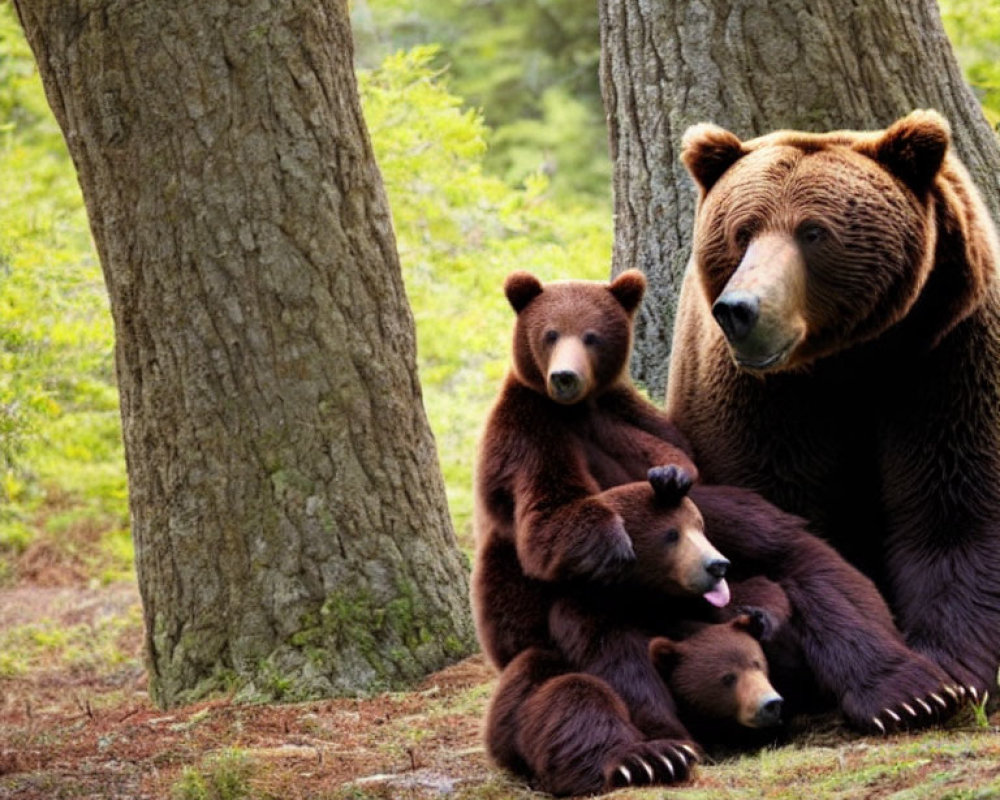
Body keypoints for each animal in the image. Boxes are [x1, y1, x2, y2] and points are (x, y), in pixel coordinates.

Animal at [668, 111, 1000, 700]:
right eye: (742, 231)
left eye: (813, 231)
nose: (741, 309)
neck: (849, 360)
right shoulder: (760, 400)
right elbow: (785, 532)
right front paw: (901, 689)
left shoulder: (945, 351)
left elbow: (952, 503)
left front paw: (950, 670)